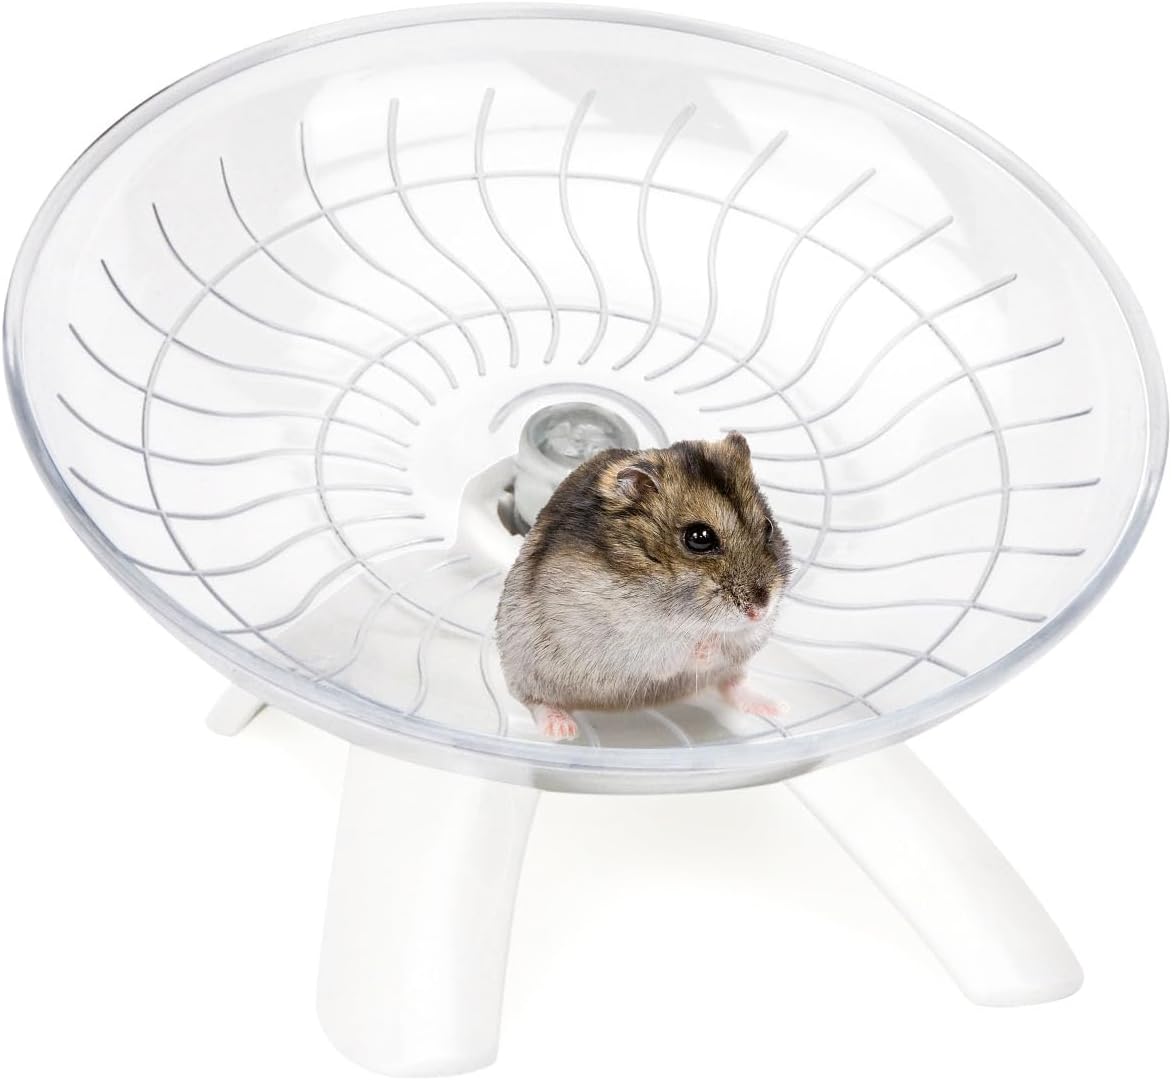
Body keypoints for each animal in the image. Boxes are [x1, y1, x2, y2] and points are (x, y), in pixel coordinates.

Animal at [495, 432, 792, 741]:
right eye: (699, 537)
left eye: (769, 527)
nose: (759, 611)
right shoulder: (627, 640)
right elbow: (675, 651)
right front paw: (703, 645)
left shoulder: (751, 635)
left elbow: (734, 642)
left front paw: (713, 642)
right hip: (525, 668)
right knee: (534, 701)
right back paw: (561, 730)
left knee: (730, 683)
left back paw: (779, 707)